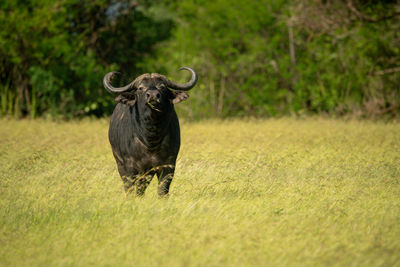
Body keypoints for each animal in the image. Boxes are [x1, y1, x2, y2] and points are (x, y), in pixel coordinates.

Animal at [103, 67, 197, 197]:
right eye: (140, 88)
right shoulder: (130, 167)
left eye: (162, 87)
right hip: (120, 164)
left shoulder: (168, 165)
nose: (152, 96)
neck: (150, 138)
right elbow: (130, 187)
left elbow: (162, 190)